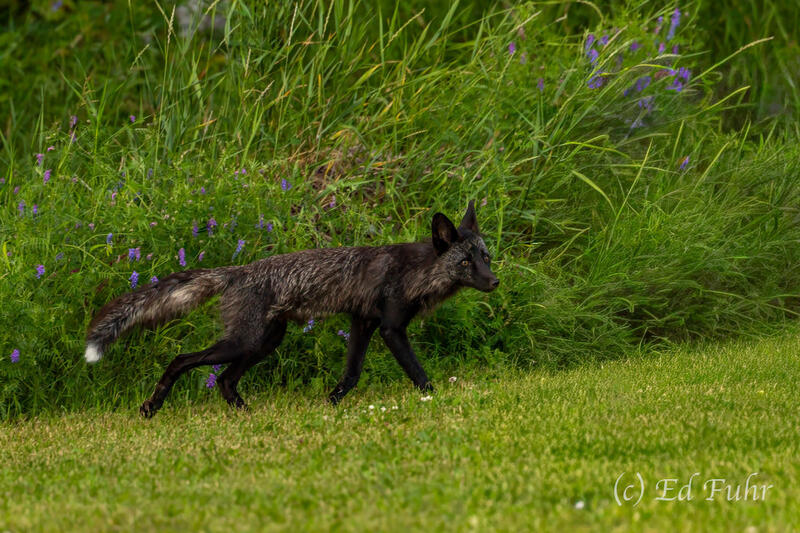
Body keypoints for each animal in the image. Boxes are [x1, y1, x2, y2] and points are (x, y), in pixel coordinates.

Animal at [84, 201, 499, 418]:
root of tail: (238, 271)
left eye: (486, 258)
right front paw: (435, 399)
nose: (494, 282)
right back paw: (151, 406)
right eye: (465, 263)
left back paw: (244, 415)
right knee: (181, 360)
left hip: (263, 343)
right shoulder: (391, 328)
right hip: (244, 342)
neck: (416, 271)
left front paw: (330, 406)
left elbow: (350, 375)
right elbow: (418, 372)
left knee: (225, 380)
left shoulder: (362, 322)